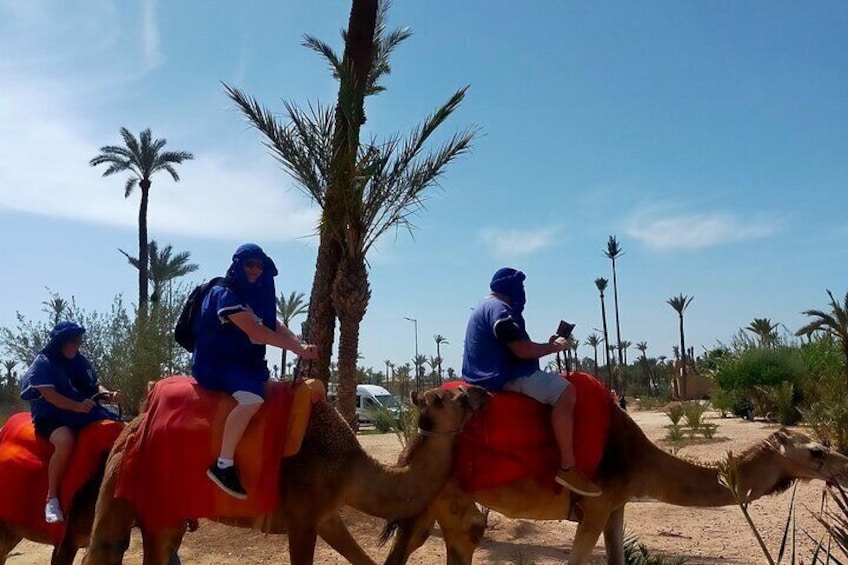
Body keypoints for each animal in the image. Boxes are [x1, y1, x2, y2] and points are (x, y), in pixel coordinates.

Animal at [83, 384, 490, 564]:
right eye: (447, 398)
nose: (477, 393)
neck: (349, 467)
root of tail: (130, 425)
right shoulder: (302, 516)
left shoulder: (328, 517)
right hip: (135, 495)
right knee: (106, 547)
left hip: (165, 513)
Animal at [380, 400, 848, 564]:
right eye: (817, 451)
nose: (843, 465)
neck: (642, 459)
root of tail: (411, 446)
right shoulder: (598, 504)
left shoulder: (616, 506)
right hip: (428, 502)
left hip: (439, 508)